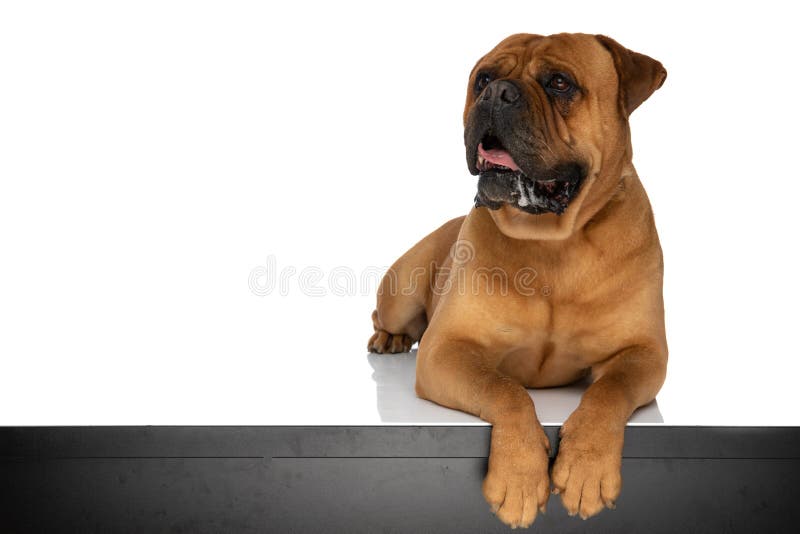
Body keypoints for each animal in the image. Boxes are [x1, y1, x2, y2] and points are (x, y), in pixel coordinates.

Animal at [368, 34, 668, 532]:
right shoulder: (447, 349)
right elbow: (504, 389)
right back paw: (387, 338)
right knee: (386, 315)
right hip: (402, 288)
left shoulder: (643, 353)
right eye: (483, 78)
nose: (496, 93)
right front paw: (520, 479)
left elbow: (610, 391)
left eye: (560, 83)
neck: (553, 245)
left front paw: (586, 468)